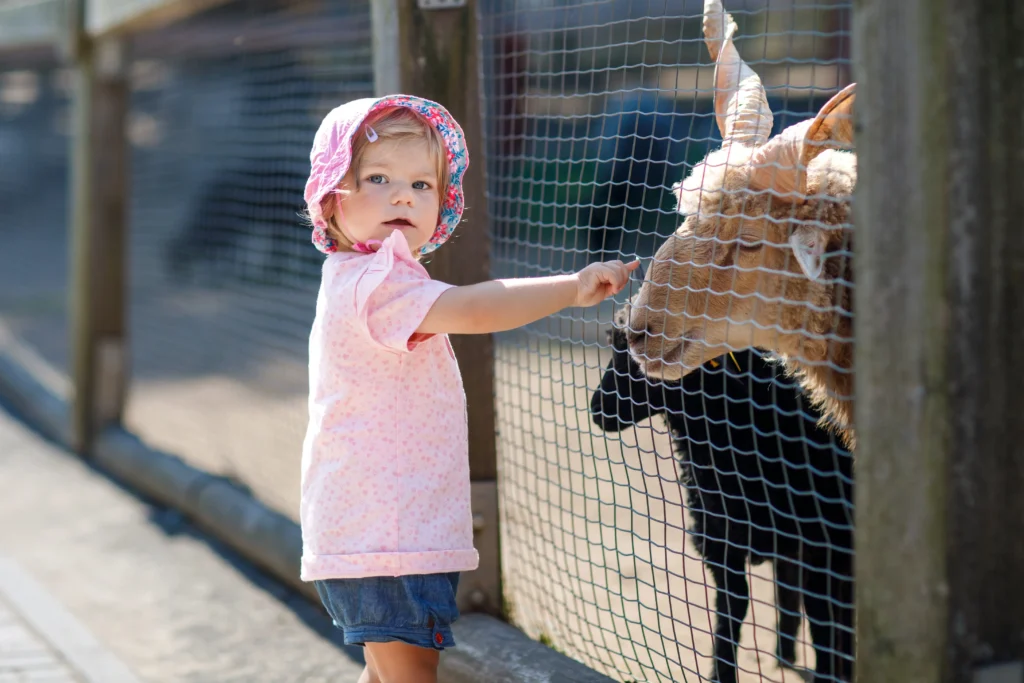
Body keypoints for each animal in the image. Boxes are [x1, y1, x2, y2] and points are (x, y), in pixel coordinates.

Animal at [592, 301, 854, 682]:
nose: (597, 410)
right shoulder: (718, 539)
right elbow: (730, 613)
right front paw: (720, 672)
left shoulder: (824, 546)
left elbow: (824, 623)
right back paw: (785, 653)